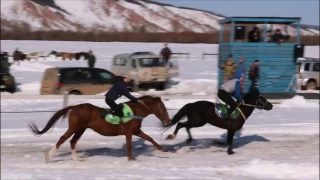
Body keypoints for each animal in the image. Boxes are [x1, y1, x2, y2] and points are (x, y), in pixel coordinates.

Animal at [28, 95, 171, 162]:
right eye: (162, 108)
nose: (169, 121)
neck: (135, 111)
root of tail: (74, 107)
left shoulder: (136, 131)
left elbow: (149, 138)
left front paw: (163, 149)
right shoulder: (129, 132)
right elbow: (130, 145)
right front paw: (131, 158)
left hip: (81, 129)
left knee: (73, 141)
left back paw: (77, 159)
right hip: (74, 127)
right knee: (63, 139)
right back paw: (48, 156)